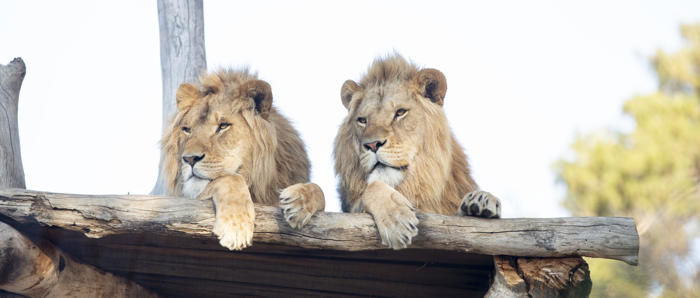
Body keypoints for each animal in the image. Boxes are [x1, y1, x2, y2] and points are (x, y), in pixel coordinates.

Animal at [159, 68, 326, 250]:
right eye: (187, 129)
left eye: (223, 126)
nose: (189, 159)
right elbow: (231, 178)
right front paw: (236, 229)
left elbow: (319, 190)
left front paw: (298, 202)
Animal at [332, 55, 498, 249]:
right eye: (362, 120)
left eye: (400, 112)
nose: (372, 144)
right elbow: (372, 187)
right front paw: (397, 221)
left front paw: (481, 201)